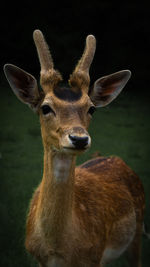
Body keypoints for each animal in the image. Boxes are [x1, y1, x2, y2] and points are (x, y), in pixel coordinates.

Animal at [4, 30, 145, 266]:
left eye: (92, 108)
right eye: (45, 107)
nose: (79, 138)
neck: (59, 249)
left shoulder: (94, 256)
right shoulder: (38, 258)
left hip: (137, 233)